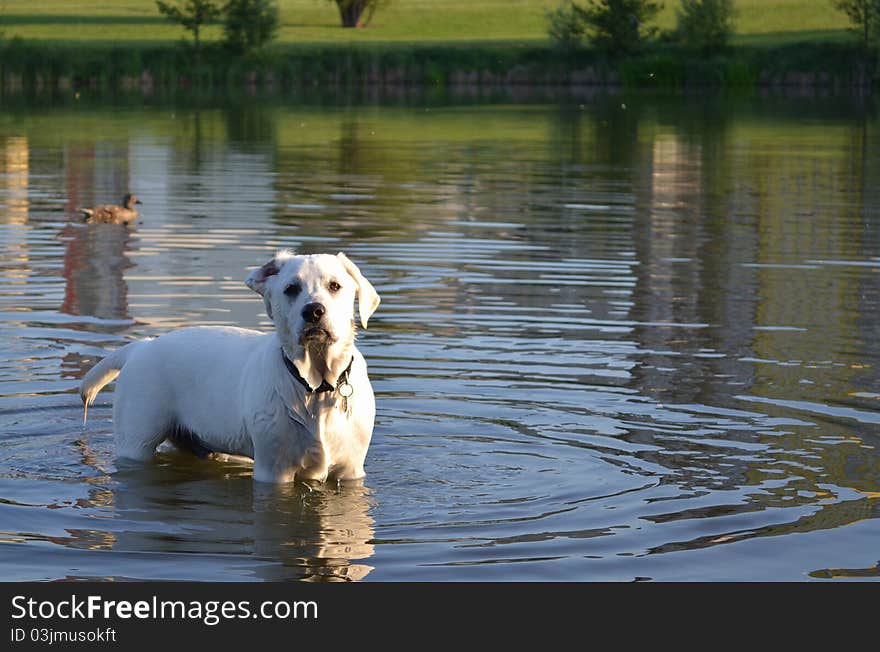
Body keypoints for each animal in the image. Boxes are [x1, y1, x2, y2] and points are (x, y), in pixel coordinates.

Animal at [81, 250, 382, 484]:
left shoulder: (351, 469)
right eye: (291, 289)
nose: (314, 311)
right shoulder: (273, 471)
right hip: (135, 441)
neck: (316, 387)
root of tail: (140, 347)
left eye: (335, 286)